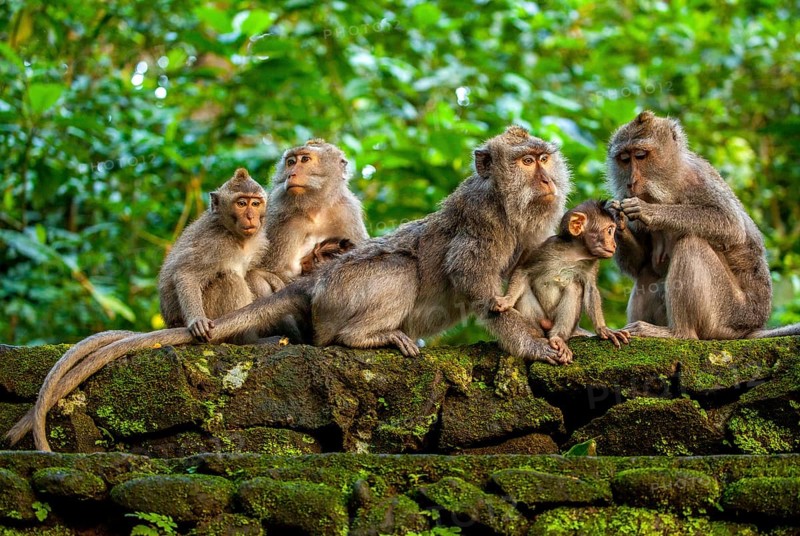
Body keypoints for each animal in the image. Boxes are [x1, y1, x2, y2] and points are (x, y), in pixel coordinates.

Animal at [7, 126, 572, 451]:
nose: (546, 178)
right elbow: (480, 289)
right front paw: (537, 346)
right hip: (341, 291)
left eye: (543, 158)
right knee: (396, 270)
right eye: (526, 162)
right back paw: (364, 337)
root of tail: (319, 281)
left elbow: (529, 275)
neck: (507, 204)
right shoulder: (482, 221)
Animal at [492, 200, 630, 362]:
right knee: (525, 288)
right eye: (609, 231)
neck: (574, 253)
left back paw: (558, 338)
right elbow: (523, 270)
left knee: (574, 287)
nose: (614, 244)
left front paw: (604, 329)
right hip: (540, 316)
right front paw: (507, 300)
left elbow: (591, 289)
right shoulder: (548, 246)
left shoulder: (592, 264)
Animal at [606, 111, 800, 339]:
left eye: (640, 155)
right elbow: (640, 263)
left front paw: (649, 211)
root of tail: (751, 327)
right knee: (648, 273)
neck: (667, 185)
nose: (631, 182)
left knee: (691, 244)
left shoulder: (695, 179)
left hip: (728, 313)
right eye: (624, 159)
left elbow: (730, 223)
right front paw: (616, 219)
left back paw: (678, 333)